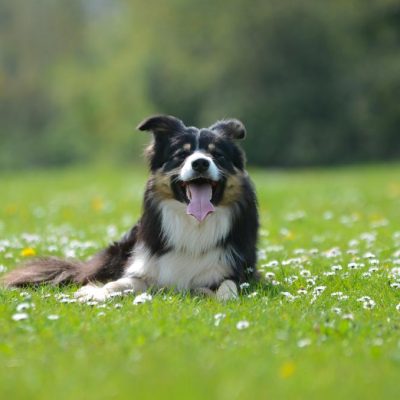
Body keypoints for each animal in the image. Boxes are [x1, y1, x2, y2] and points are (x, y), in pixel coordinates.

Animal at [0, 115, 260, 300]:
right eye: (180, 155)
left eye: (217, 155)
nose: (200, 163)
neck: (194, 224)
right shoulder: (145, 268)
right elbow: (120, 282)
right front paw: (96, 293)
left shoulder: (237, 272)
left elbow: (227, 290)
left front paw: (209, 293)